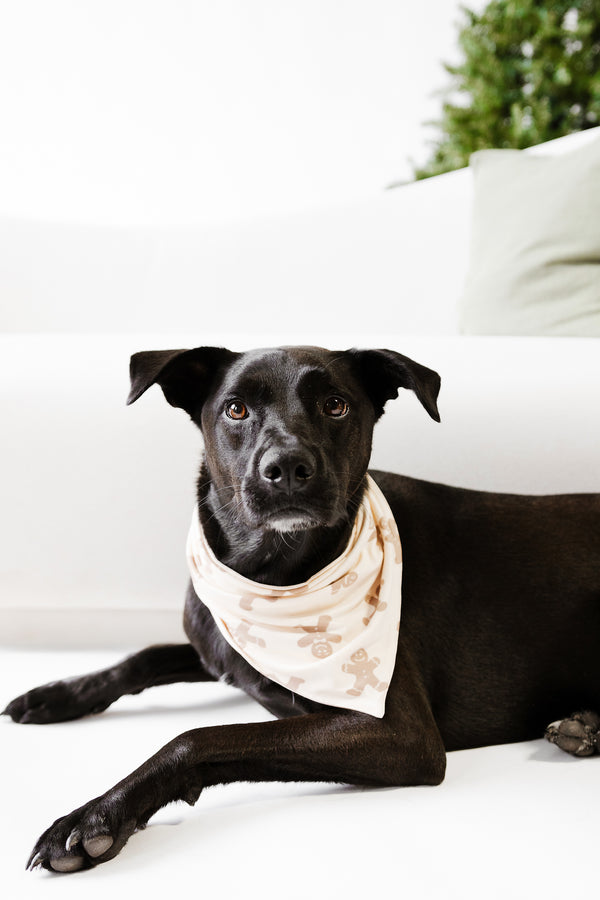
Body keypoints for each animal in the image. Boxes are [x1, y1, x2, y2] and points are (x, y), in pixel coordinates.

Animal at [4, 346, 600, 872]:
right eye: (236, 408)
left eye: (335, 405)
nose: (287, 467)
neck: (272, 572)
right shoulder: (222, 647)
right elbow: (144, 656)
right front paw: (57, 694)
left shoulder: (404, 735)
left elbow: (200, 737)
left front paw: (97, 817)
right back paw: (584, 727)